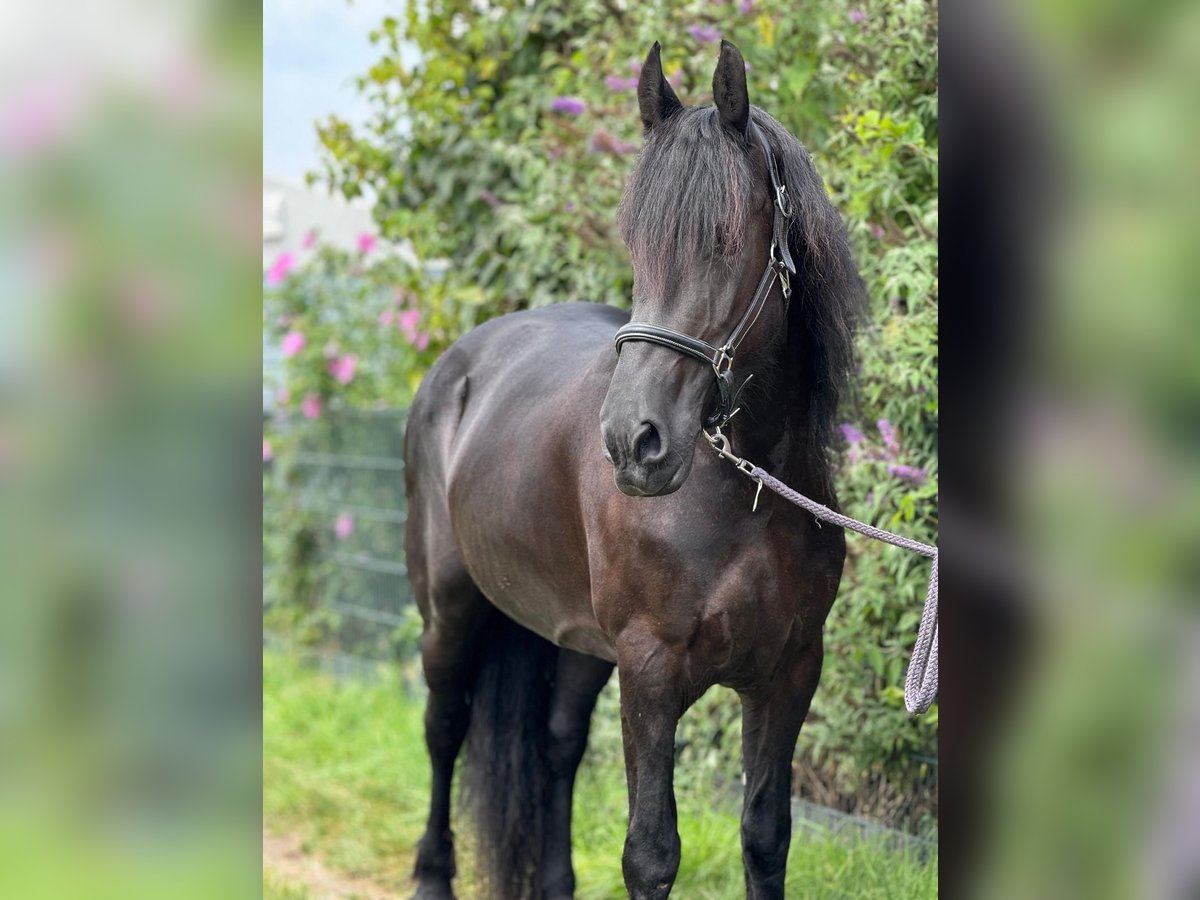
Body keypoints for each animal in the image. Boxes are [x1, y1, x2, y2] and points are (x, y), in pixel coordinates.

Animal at [408, 38, 868, 897]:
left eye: (726, 240)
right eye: (638, 248)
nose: (632, 442)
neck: (746, 497)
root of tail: (459, 363)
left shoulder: (789, 673)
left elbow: (766, 836)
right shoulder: (651, 671)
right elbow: (651, 852)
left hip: (582, 642)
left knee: (557, 744)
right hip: (448, 610)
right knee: (443, 727)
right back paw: (430, 876)